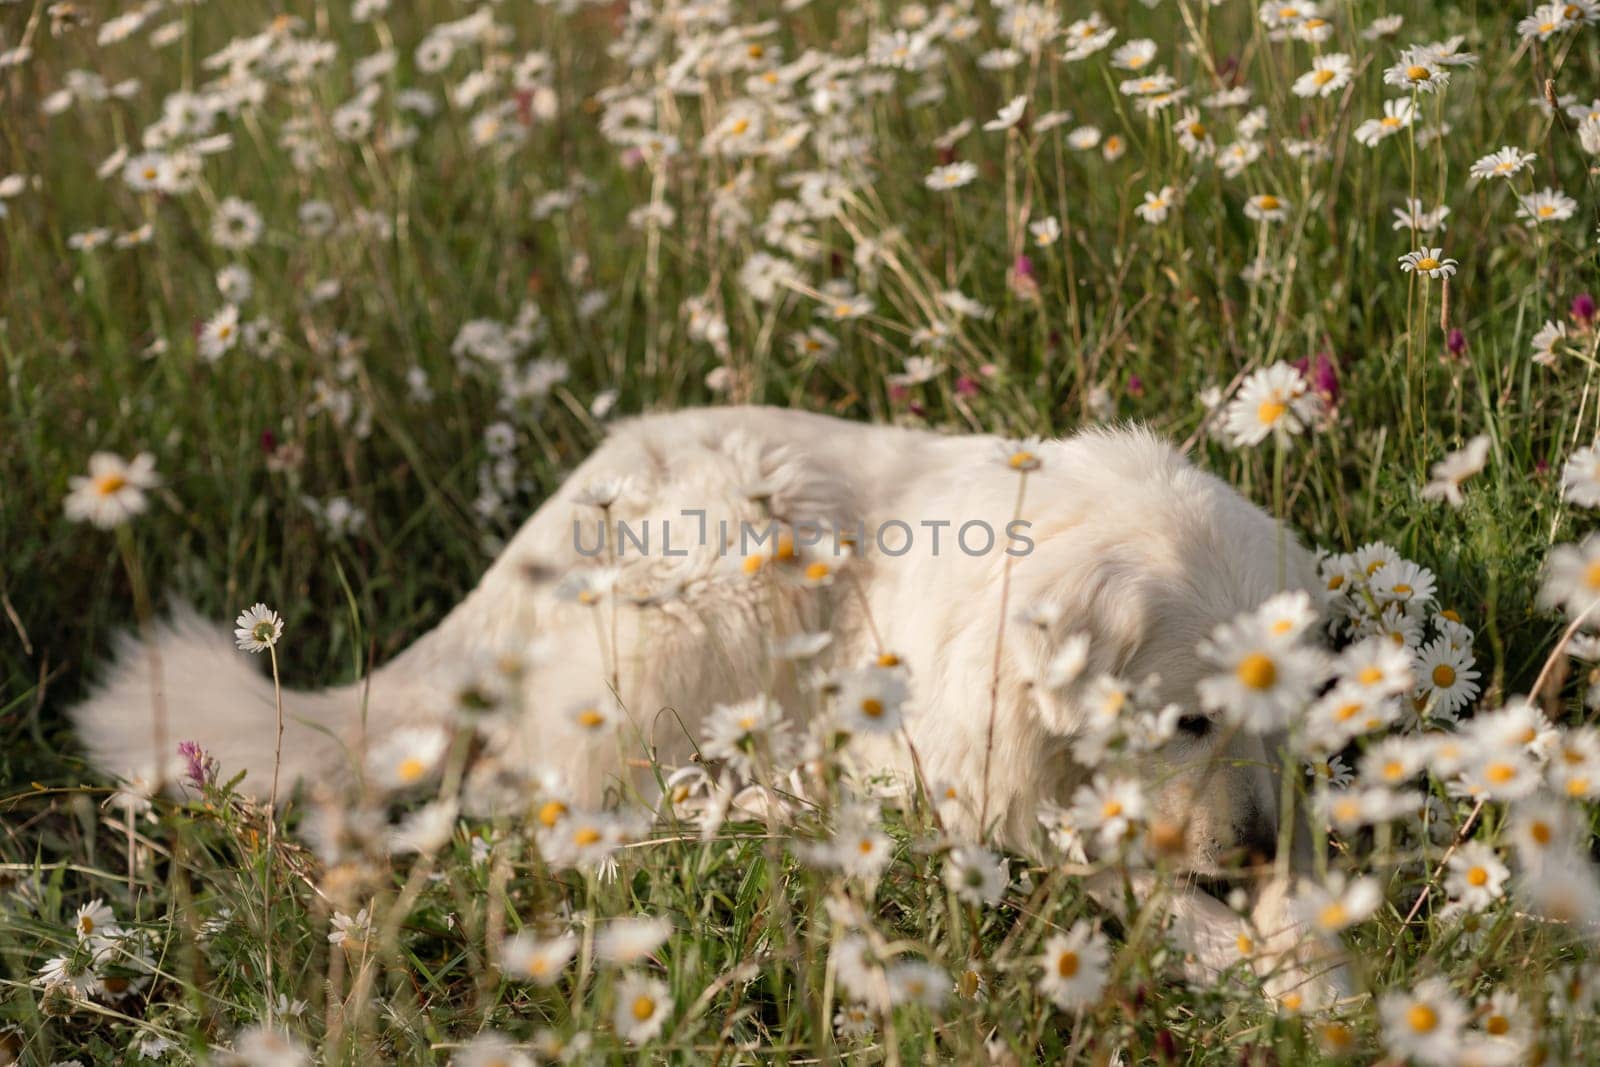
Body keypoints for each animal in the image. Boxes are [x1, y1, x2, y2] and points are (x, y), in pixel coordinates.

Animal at [72, 409, 1337, 1004]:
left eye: (1287, 716)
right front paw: (1257, 958)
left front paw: (1303, 944)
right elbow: (1137, 882)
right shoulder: (995, 805)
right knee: (601, 807)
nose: (1249, 850)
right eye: (1186, 722)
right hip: (730, 553)